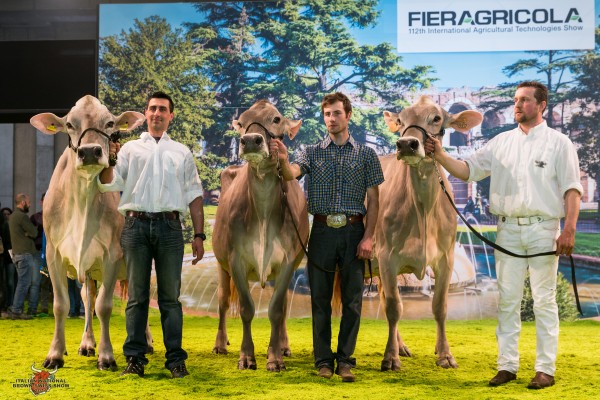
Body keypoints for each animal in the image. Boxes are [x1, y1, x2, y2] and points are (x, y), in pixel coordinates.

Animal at [30, 95, 145, 370]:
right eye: (70, 124)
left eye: (110, 123)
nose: (90, 151)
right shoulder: (54, 255)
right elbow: (62, 304)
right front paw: (55, 354)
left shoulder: (112, 254)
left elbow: (104, 306)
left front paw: (107, 356)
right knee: (87, 295)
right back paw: (87, 343)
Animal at [212, 100, 309, 371]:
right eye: (242, 120)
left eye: (276, 119)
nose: (251, 140)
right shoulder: (235, 259)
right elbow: (246, 308)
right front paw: (246, 356)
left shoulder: (288, 261)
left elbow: (276, 310)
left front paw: (274, 357)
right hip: (220, 263)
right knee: (223, 301)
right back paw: (220, 344)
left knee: (284, 306)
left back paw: (284, 346)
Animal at [374, 95, 482, 371]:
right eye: (401, 120)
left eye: (436, 118)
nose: (407, 144)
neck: (423, 209)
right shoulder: (386, 256)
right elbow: (394, 307)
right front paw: (390, 358)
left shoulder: (446, 257)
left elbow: (439, 306)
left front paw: (445, 354)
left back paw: (401, 346)